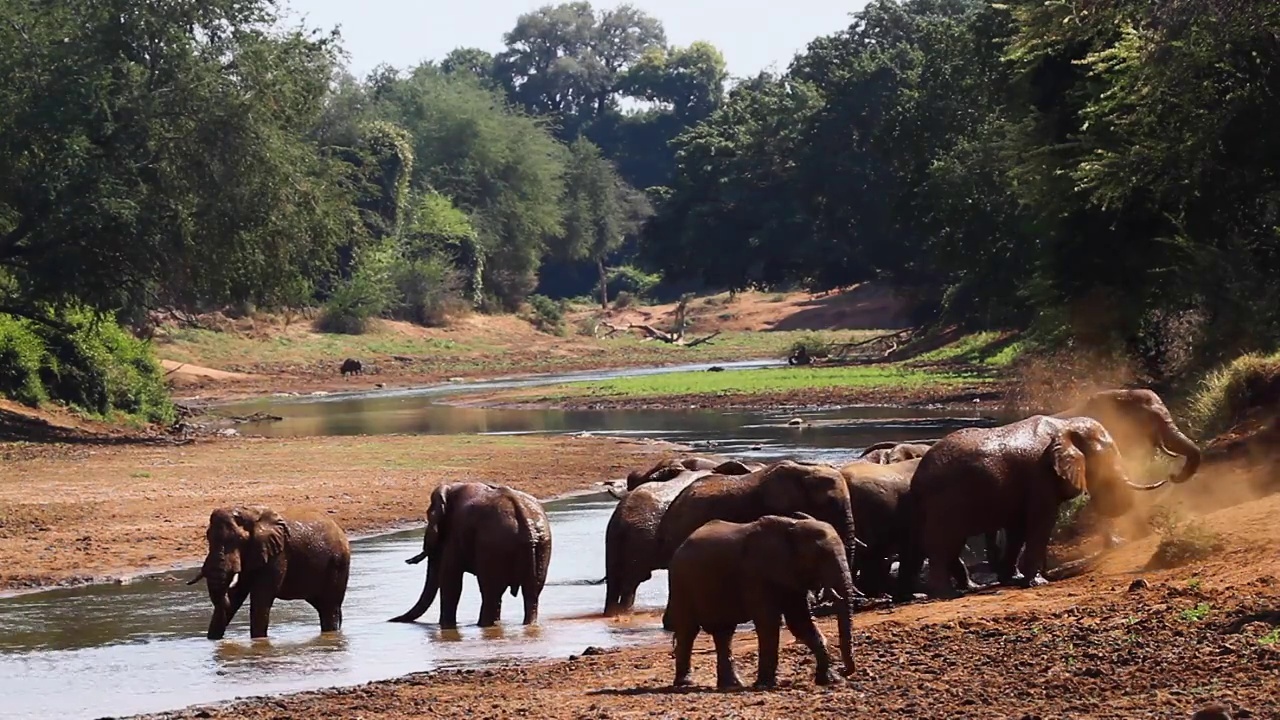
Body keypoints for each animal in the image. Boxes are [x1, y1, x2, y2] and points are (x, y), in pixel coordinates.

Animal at [185, 504, 350, 638]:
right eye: (208, 537)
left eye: (239, 540)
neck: (248, 513)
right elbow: (237, 594)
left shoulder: (277, 555)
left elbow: (260, 597)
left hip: (338, 564)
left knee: (329, 607)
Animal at [389, 481, 550, 627]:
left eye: (429, 517)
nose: (391, 619)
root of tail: (527, 523)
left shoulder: (454, 533)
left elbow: (450, 581)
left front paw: (446, 627)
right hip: (541, 545)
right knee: (531, 592)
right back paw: (526, 625)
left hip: (492, 546)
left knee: (491, 592)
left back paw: (484, 626)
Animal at [660, 512, 860, 686]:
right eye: (820, 555)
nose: (844, 671)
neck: (792, 527)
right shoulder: (755, 574)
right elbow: (768, 622)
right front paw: (766, 684)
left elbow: (800, 622)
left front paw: (830, 680)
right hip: (681, 583)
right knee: (688, 630)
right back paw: (686, 683)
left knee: (724, 633)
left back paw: (732, 684)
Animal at [896, 412, 1167, 597]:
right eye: (1107, 458)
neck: (1065, 426)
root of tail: (917, 478)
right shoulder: (1041, 477)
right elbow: (1041, 523)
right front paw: (1037, 583)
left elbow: (1018, 529)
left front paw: (1012, 579)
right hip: (945, 502)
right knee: (942, 545)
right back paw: (946, 594)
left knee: (937, 546)